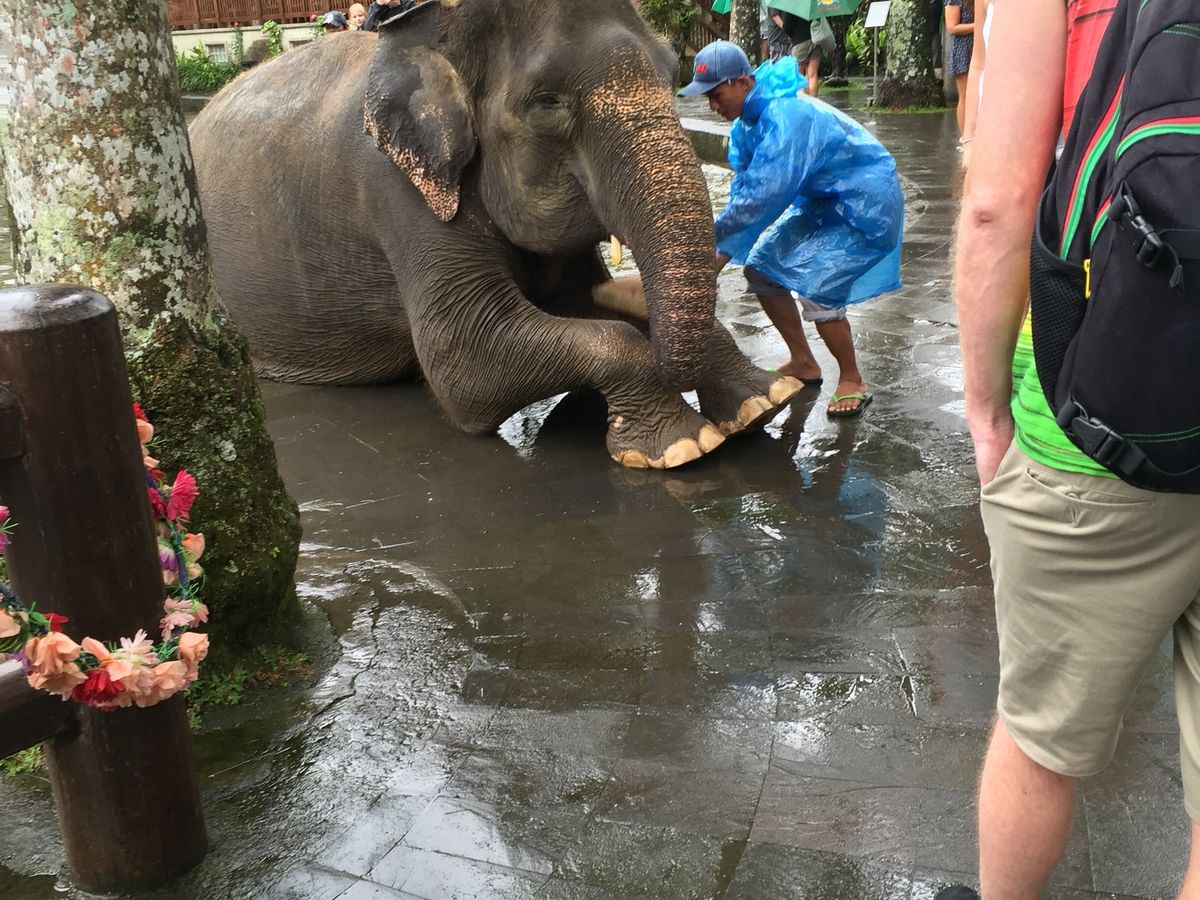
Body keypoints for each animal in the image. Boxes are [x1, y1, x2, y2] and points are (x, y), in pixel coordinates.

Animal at [189, 0, 802, 468]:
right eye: (546, 101)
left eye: (672, 66)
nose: (629, 285)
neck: (433, 28)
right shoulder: (397, 194)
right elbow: (463, 360)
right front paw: (683, 445)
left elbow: (576, 304)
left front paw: (764, 402)